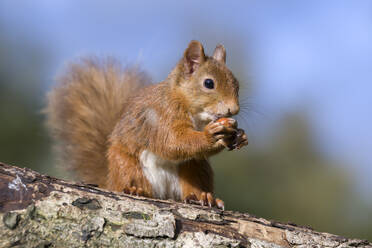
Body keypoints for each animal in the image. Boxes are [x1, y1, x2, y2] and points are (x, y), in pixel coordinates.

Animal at [47, 41, 250, 209]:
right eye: (208, 83)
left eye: (237, 84)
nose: (234, 109)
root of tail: (110, 181)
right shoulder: (160, 117)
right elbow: (173, 142)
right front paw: (211, 135)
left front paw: (240, 136)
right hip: (128, 166)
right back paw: (134, 190)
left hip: (195, 167)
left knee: (191, 187)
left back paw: (204, 197)